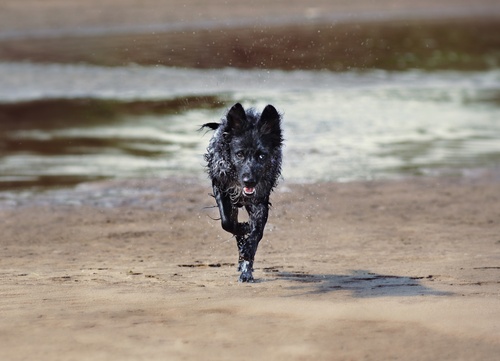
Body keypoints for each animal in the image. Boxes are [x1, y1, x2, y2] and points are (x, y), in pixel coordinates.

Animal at [202, 102, 282, 280]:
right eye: (239, 154)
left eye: (261, 156)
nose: (249, 180)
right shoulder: (221, 188)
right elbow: (227, 223)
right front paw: (244, 228)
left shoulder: (260, 200)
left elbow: (257, 232)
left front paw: (248, 250)